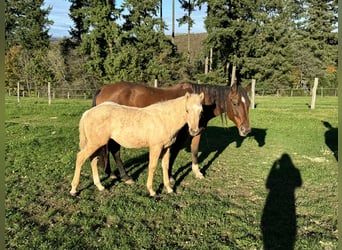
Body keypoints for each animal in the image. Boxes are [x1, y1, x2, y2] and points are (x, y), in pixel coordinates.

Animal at [69, 93, 203, 196]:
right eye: (187, 110)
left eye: (201, 111)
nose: (194, 131)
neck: (164, 119)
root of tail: (87, 113)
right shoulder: (156, 147)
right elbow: (152, 166)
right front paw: (152, 191)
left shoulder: (166, 148)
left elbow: (165, 166)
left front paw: (169, 189)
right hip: (95, 143)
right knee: (80, 158)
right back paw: (74, 189)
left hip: (96, 144)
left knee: (93, 160)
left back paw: (100, 186)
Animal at [93, 81, 251, 183]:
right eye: (235, 103)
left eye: (249, 104)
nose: (246, 130)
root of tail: (103, 88)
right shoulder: (179, 137)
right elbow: (173, 155)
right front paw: (170, 176)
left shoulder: (196, 133)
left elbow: (194, 151)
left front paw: (197, 172)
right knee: (115, 150)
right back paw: (125, 177)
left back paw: (111, 173)